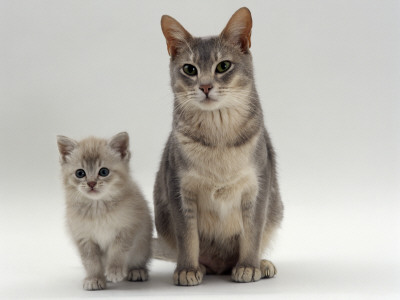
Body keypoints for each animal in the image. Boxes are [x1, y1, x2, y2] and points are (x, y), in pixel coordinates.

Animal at [55, 132, 151, 290]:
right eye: (80, 173)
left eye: (104, 172)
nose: (91, 183)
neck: (98, 209)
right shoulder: (84, 237)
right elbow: (91, 261)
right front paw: (94, 279)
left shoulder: (127, 228)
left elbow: (118, 251)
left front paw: (115, 271)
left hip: (142, 245)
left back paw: (137, 271)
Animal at [154, 5, 284, 284]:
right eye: (190, 69)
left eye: (223, 66)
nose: (205, 86)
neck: (218, 139)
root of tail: (220, 265)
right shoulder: (179, 186)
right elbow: (187, 236)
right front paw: (187, 269)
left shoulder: (258, 185)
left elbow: (252, 233)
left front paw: (248, 266)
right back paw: (199, 267)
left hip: (276, 209)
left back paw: (262, 263)